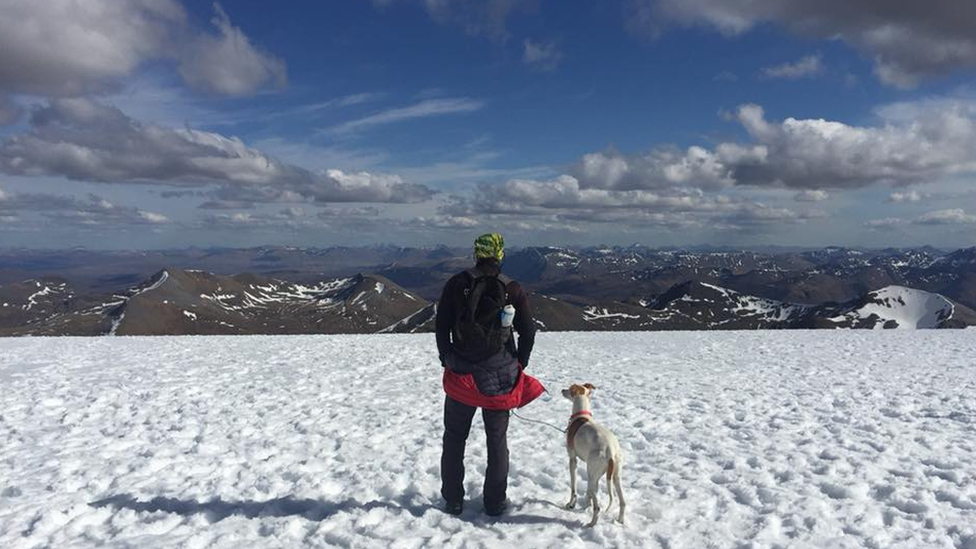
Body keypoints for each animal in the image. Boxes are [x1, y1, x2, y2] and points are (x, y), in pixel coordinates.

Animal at [564, 384, 624, 524]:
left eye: (569, 388)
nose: (562, 390)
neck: (581, 415)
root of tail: (610, 452)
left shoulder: (573, 459)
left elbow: (573, 487)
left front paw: (571, 504)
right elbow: (588, 494)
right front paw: (586, 505)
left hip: (592, 474)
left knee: (597, 507)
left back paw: (591, 524)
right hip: (614, 476)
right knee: (623, 502)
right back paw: (620, 521)